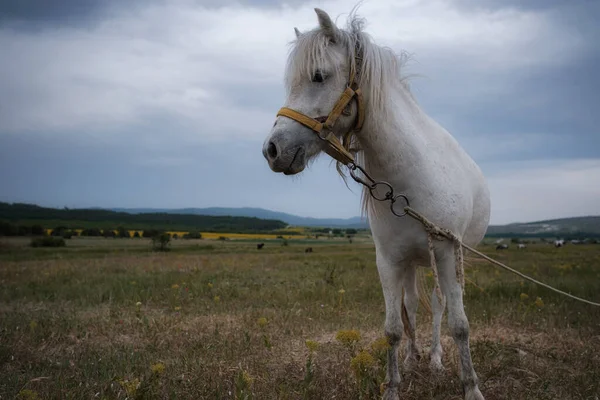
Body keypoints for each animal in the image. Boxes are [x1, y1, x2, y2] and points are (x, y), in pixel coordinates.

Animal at [264, 7, 490, 400]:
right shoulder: (388, 260)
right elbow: (393, 328)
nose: (272, 150)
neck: (411, 181)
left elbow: (460, 324)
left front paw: (471, 388)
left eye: (319, 76)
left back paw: (434, 358)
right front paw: (392, 386)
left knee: (440, 306)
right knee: (413, 306)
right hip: (412, 261)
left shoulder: (447, 252)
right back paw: (415, 357)